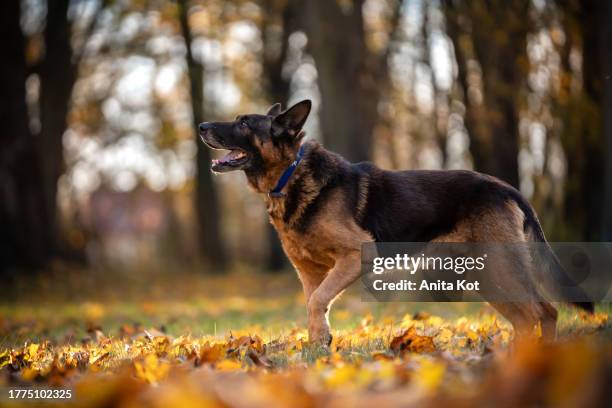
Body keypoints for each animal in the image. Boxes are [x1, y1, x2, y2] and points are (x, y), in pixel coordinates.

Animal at [201, 99, 592, 344]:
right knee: (528, 318)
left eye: (244, 123)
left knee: (544, 311)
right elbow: (315, 307)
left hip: (499, 267)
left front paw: (321, 343)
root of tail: (507, 188)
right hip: (486, 276)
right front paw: (318, 352)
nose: (202, 125)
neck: (290, 176)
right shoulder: (310, 273)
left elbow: (317, 303)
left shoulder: (355, 255)